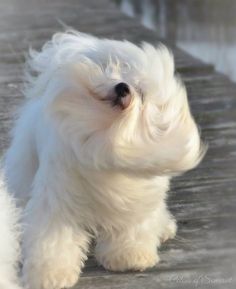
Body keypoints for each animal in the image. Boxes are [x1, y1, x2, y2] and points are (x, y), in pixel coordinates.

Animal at [4, 31, 205, 288]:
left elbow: (132, 229)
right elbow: (53, 240)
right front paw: (50, 275)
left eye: (141, 93)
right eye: (117, 72)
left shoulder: (133, 202)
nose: (122, 87)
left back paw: (164, 227)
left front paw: (130, 257)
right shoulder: (58, 201)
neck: (105, 136)